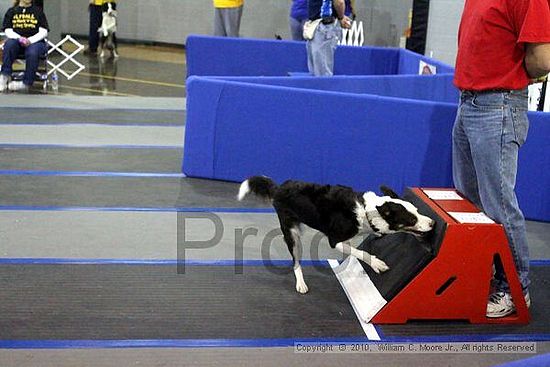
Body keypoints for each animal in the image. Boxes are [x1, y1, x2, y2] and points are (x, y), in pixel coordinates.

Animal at [237, 177, 436, 294]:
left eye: (417, 210)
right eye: (411, 219)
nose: (433, 223)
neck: (367, 212)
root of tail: (278, 188)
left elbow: (358, 248)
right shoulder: (335, 240)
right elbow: (360, 252)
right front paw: (376, 263)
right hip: (292, 235)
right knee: (295, 261)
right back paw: (300, 283)